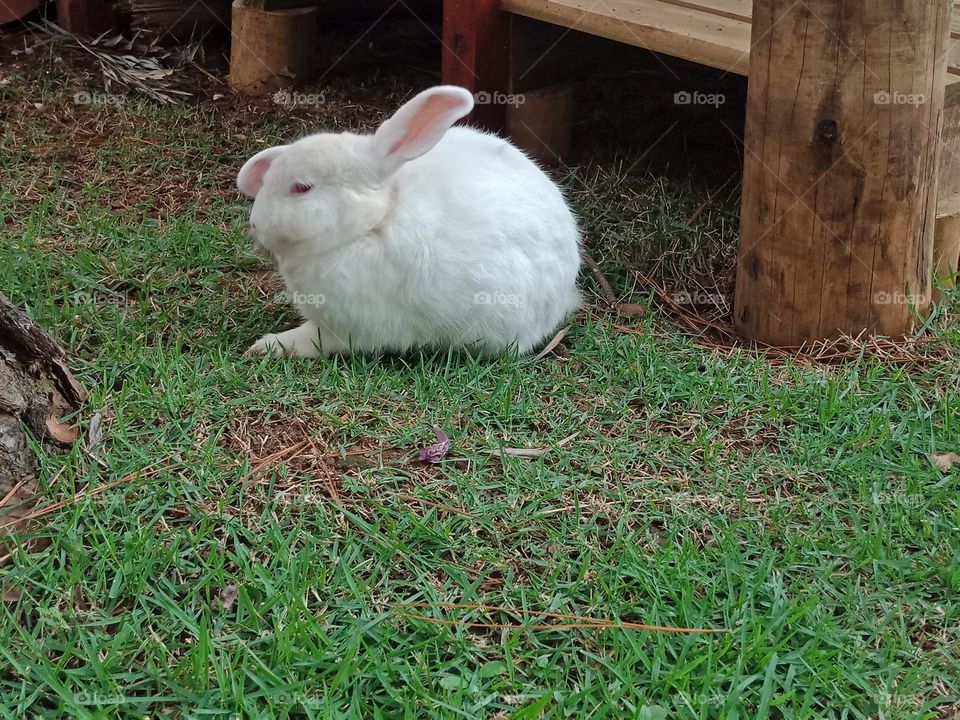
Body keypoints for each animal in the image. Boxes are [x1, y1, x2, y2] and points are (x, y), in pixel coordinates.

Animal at [238, 85, 584, 358]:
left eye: (302, 187)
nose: (256, 225)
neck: (373, 223)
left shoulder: (347, 330)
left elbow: (311, 340)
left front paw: (267, 345)